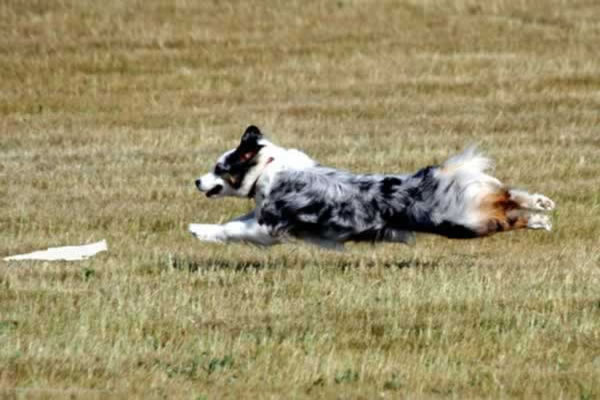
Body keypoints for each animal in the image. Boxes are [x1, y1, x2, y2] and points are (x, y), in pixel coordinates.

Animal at [190, 125, 554, 249]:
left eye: (219, 168)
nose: (196, 180)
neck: (267, 168)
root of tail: (433, 177)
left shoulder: (270, 226)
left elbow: (232, 230)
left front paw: (198, 230)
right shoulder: (261, 214)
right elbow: (234, 222)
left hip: (462, 223)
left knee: (509, 215)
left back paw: (539, 217)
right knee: (508, 194)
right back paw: (542, 204)